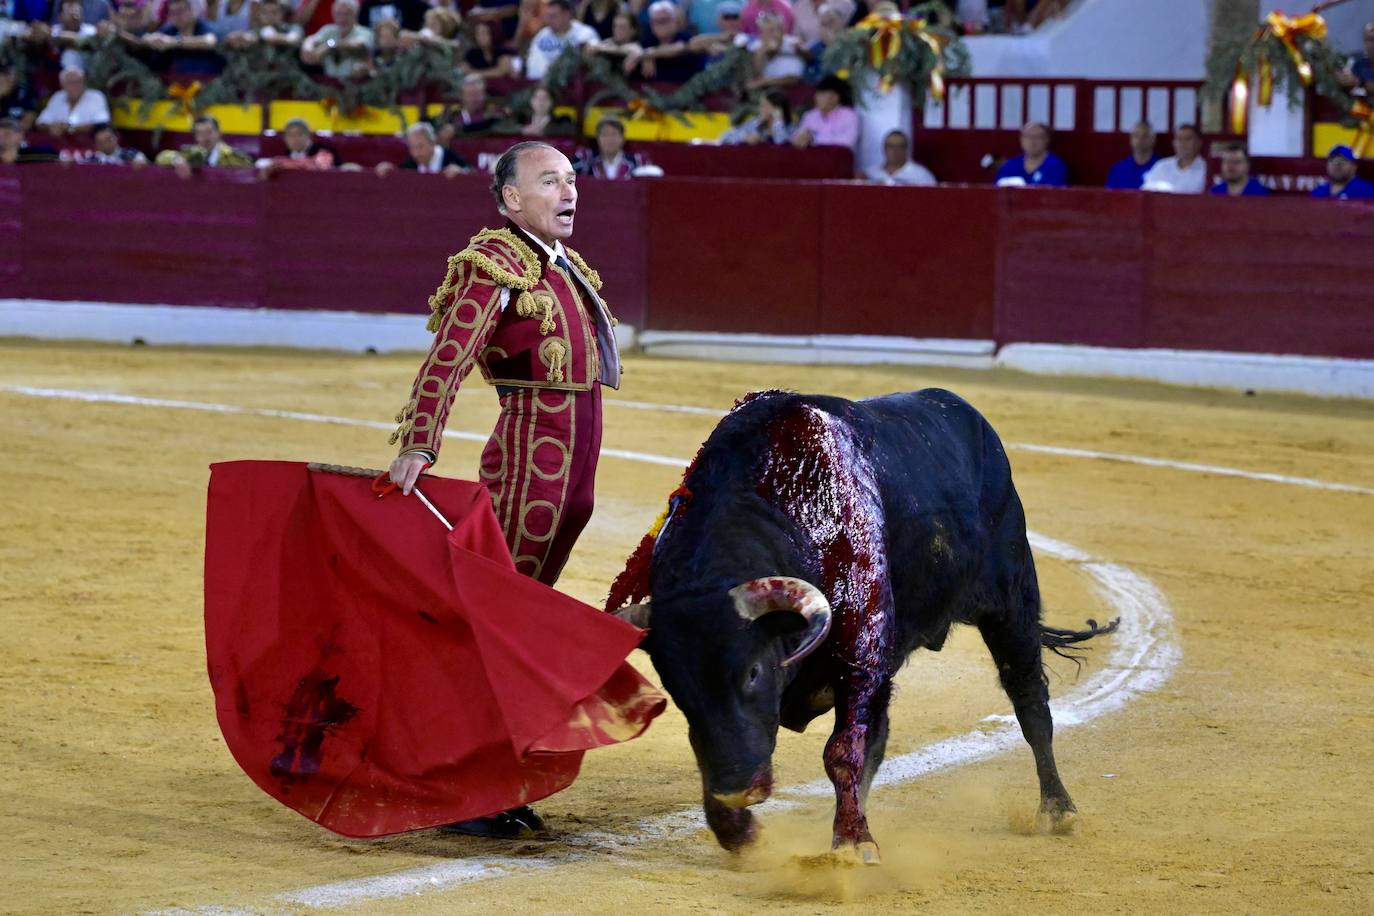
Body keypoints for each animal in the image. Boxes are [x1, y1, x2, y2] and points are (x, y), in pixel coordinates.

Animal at [612, 390, 1115, 862]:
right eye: (675, 685)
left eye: (753, 672)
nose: (737, 789)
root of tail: (970, 419)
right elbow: (709, 748)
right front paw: (740, 833)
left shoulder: (861, 654)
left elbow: (841, 750)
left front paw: (854, 844)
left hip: (1012, 605)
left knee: (1030, 703)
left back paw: (1058, 810)